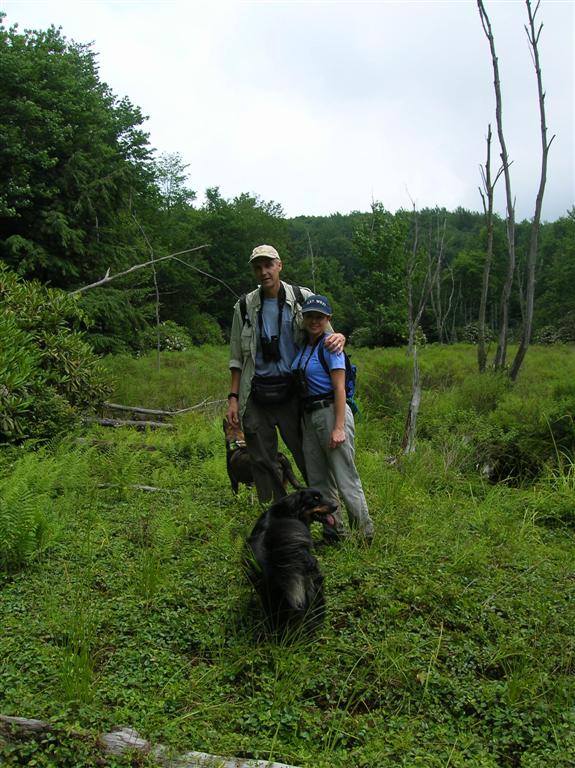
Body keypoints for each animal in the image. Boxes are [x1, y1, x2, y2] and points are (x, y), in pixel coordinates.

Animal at [242, 492, 338, 636]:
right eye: (315, 498)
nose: (336, 506)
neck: (291, 509)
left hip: (271, 596)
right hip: (314, 584)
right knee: (316, 615)